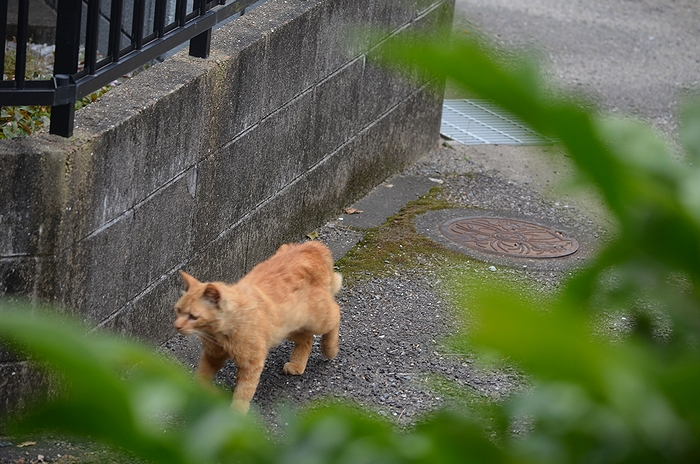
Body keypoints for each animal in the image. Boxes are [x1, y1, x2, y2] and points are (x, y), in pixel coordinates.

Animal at [174, 241, 340, 412]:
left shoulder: (251, 363)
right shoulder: (212, 356)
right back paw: (297, 364)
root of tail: (311, 245)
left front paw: (236, 412)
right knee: (307, 338)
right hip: (286, 328)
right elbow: (202, 376)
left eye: (193, 316)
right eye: (178, 310)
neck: (220, 333)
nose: (177, 326)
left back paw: (330, 349)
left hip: (317, 319)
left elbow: (243, 391)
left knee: (336, 313)